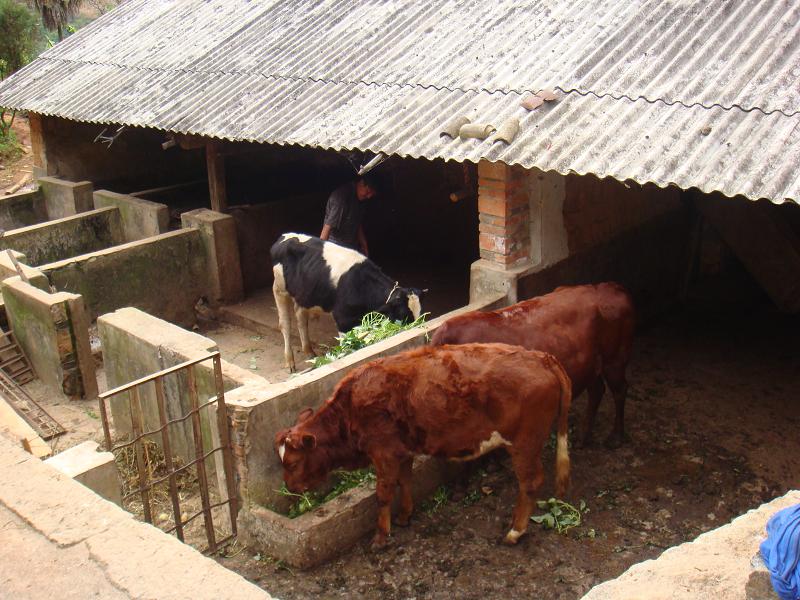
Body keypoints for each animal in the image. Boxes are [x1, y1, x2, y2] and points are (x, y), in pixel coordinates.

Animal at [270, 233, 424, 370]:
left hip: (303, 294)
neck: (361, 284)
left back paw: (309, 352)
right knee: (285, 324)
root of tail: (283, 237)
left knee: (301, 319)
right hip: (279, 290)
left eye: (420, 313)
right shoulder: (343, 320)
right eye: (403, 315)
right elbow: (349, 348)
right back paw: (290, 361)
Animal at [274, 342, 568, 548]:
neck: (350, 410)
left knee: (530, 483)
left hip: (524, 445)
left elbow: (383, 495)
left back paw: (515, 532)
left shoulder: (384, 454)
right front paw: (405, 516)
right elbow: (406, 482)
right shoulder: (402, 452)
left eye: (293, 462)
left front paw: (381, 536)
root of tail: (542, 357)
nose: (290, 487)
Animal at [428, 284, 636, 448]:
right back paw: (583, 438)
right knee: (597, 390)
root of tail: (613, 287)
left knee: (619, 390)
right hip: (591, 363)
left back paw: (616, 437)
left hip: (615, 358)